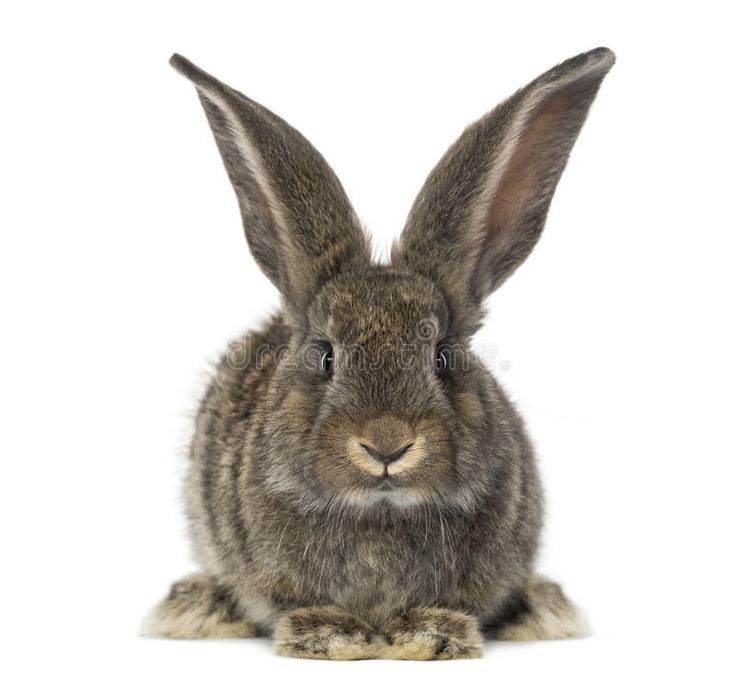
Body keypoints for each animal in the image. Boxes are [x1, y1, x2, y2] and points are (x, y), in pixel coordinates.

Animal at [144, 48, 616, 660]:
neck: (382, 511)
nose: (387, 444)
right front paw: (332, 635)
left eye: (442, 357)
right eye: (325, 356)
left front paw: (431, 634)